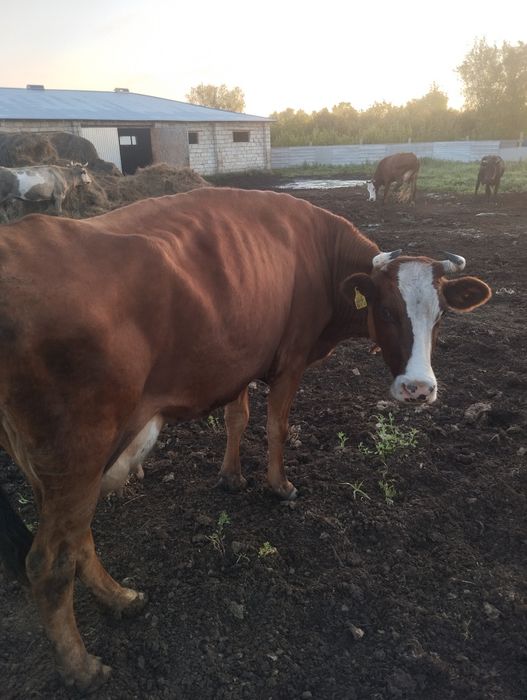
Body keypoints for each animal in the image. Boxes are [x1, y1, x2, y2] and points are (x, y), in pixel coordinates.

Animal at [0, 188, 491, 691]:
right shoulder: (291, 359)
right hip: (78, 451)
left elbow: (238, 417)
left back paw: (120, 598)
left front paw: (231, 476)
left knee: (78, 540)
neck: (320, 254)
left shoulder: (237, 358)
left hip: (55, 465)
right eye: (388, 310)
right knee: (49, 563)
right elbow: (277, 425)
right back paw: (81, 666)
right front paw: (278, 485)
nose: (419, 388)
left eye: (441, 317)